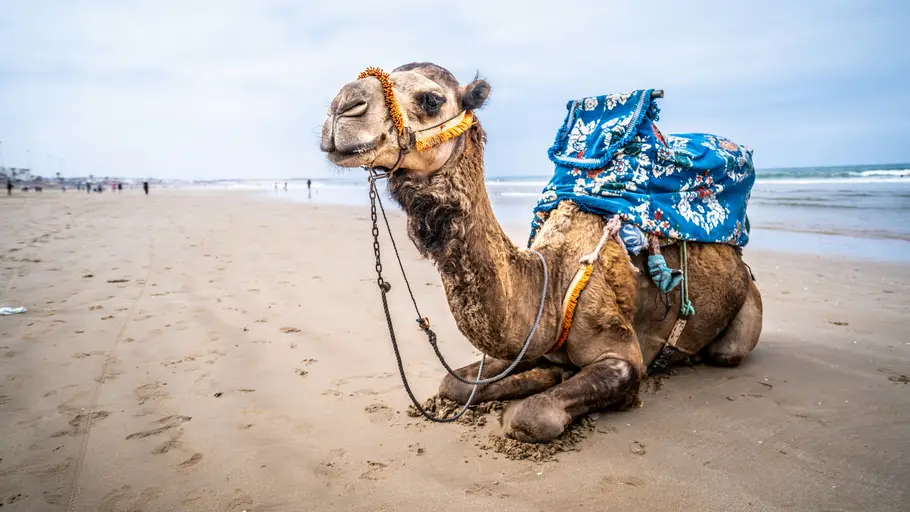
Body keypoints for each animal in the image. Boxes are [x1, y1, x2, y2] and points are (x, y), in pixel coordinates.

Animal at [320, 62, 763, 443]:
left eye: (431, 99)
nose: (343, 105)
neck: (552, 280)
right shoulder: (529, 343)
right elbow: (452, 383)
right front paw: (539, 377)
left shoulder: (622, 353)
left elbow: (530, 415)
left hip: (743, 313)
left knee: (726, 352)